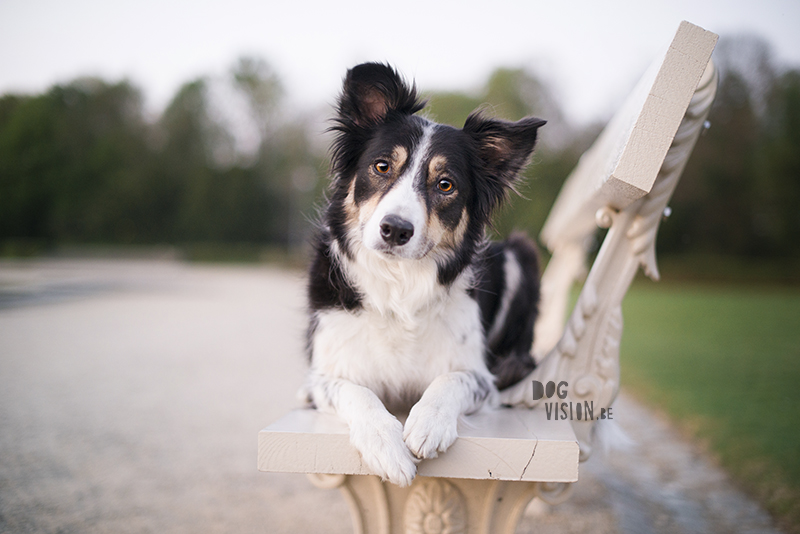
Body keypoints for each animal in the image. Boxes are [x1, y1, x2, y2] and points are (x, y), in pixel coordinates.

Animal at [304, 63, 548, 490]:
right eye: (382, 166)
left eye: (445, 185)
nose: (395, 230)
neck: (399, 283)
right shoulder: (322, 377)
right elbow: (357, 393)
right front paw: (386, 447)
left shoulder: (477, 377)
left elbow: (452, 380)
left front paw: (428, 423)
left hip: (521, 253)